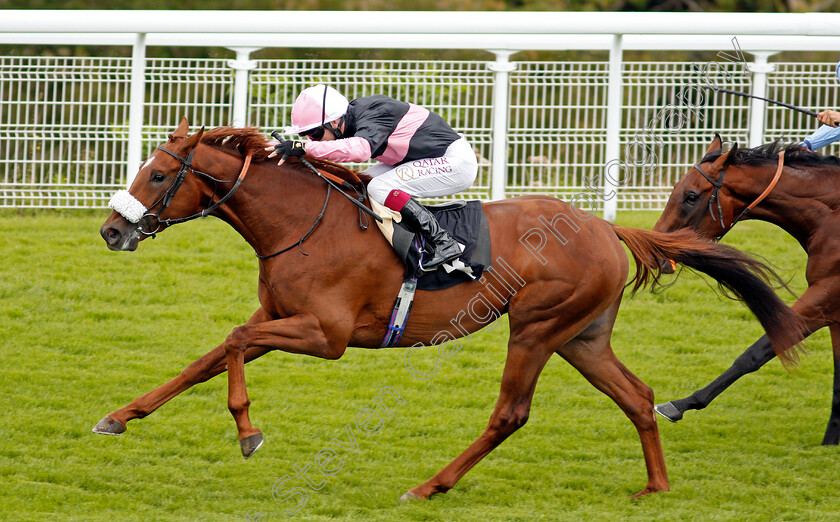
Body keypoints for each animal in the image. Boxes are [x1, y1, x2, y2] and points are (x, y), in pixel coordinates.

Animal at [97, 118, 808, 496]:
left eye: (157, 174)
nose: (110, 230)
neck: (301, 223)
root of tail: (608, 230)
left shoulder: (326, 335)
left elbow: (237, 344)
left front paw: (248, 431)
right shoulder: (279, 318)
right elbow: (212, 353)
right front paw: (120, 416)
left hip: (537, 327)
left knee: (511, 413)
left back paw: (431, 484)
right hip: (582, 336)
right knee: (637, 397)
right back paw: (656, 487)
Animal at [656, 134, 840, 442]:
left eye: (691, 196)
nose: (658, 251)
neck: (833, 219)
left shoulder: (825, 294)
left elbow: (756, 352)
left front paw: (680, 404)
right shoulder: (834, 311)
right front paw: (831, 439)